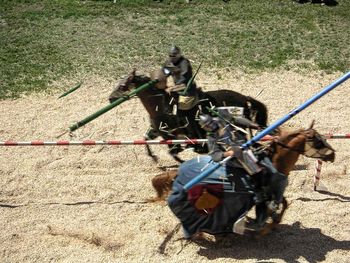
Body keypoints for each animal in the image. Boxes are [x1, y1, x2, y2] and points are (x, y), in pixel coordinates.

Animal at [109, 69, 268, 164]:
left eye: (122, 86)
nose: (110, 98)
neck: (161, 107)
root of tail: (244, 98)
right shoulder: (159, 132)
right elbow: (146, 140)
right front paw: (154, 158)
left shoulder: (176, 137)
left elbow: (173, 152)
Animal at [151, 124, 336, 239]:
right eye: (318, 142)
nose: (333, 154)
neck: (274, 161)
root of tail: (179, 170)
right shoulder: (268, 193)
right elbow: (276, 209)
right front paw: (262, 230)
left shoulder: (272, 193)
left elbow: (283, 205)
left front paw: (268, 225)